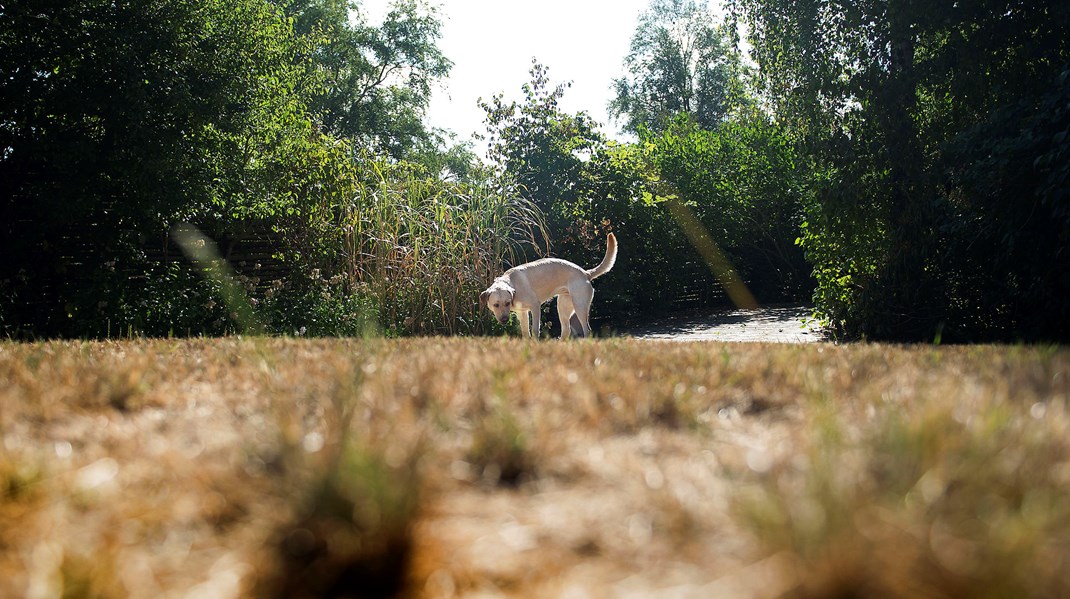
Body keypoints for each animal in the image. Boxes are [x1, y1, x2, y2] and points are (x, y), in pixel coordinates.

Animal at [479, 233, 616, 340]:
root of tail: (586, 273)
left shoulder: (535, 307)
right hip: (563, 308)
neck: (511, 283)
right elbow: (525, 332)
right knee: (566, 330)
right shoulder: (522, 313)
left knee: (587, 330)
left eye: (507, 303)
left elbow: (534, 330)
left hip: (580, 307)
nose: (504, 320)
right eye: (496, 305)